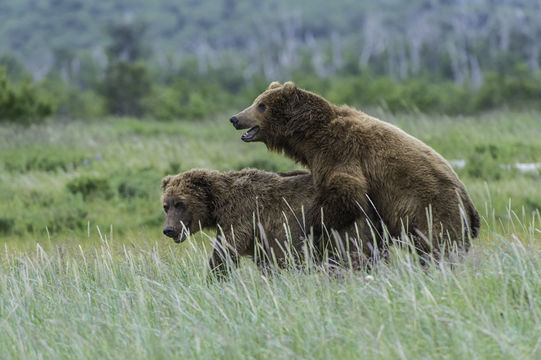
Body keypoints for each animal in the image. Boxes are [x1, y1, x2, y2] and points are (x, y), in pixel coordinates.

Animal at [230, 80, 478, 260]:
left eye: (261, 105)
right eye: (256, 101)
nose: (235, 118)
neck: (310, 137)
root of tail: (469, 202)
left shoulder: (340, 151)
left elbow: (346, 189)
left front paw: (312, 221)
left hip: (433, 209)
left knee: (439, 245)